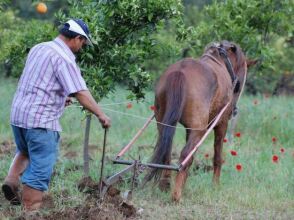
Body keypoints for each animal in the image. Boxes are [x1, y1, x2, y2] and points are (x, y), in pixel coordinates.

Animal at [144, 40, 250, 202]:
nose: (234, 110)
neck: (220, 60)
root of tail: (180, 72)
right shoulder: (221, 124)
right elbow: (217, 157)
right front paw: (215, 185)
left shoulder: (190, 129)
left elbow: (191, 158)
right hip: (199, 130)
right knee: (185, 154)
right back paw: (176, 196)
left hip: (164, 124)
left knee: (168, 152)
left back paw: (166, 186)